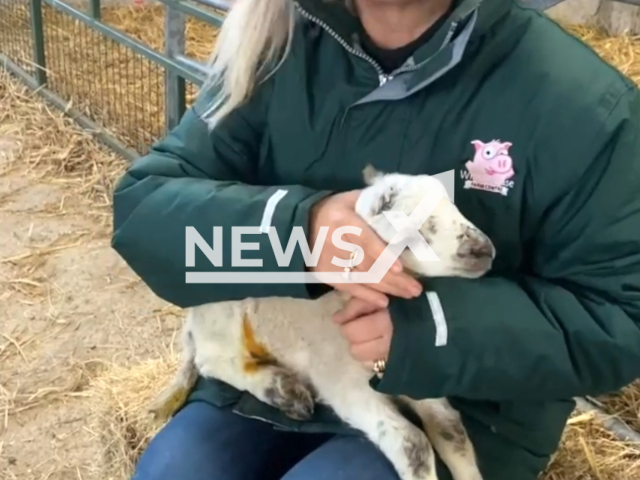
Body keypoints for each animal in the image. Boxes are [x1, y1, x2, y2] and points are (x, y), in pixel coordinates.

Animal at [149, 166, 496, 480]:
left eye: (453, 204)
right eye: (415, 233)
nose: (483, 250)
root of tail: (192, 317)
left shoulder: (413, 370)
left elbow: (451, 429)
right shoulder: (342, 381)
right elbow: (412, 444)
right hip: (224, 317)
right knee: (212, 361)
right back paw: (282, 389)